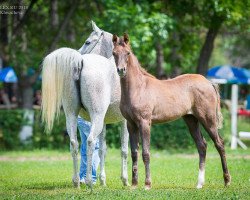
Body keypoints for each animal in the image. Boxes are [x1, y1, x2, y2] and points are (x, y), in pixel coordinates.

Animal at [112, 33, 231, 190]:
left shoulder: (145, 122)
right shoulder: (131, 124)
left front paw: (147, 184)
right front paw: (134, 185)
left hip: (208, 119)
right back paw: (199, 183)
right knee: (202, 146)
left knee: (219, 144)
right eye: (114, 53)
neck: (138, 88)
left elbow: (146, 153)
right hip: (191, 120)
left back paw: (227, 181)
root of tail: (208, 82)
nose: (121, 70)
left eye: (128, 53)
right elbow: (134, 153)